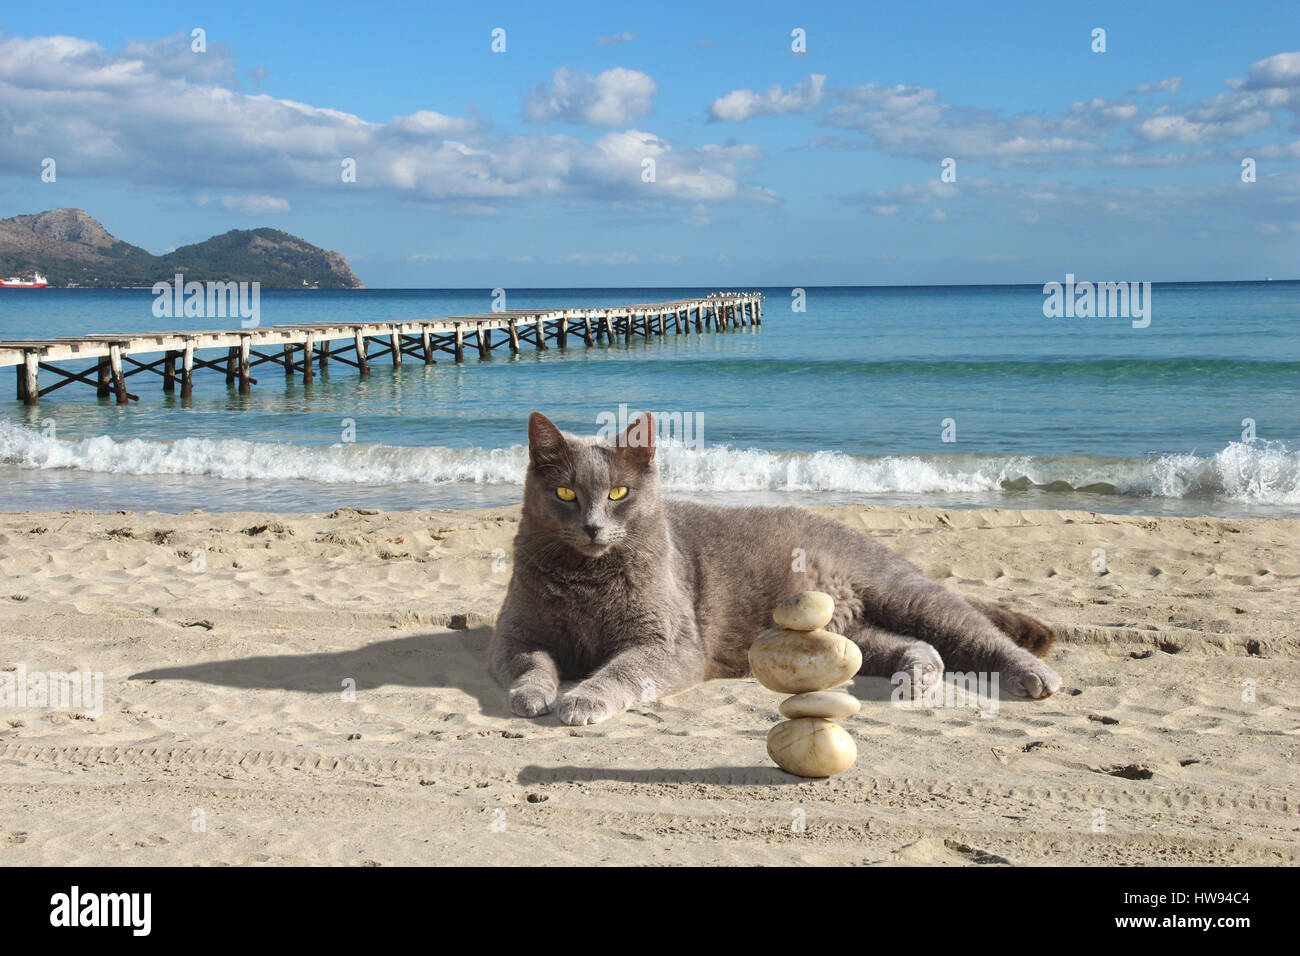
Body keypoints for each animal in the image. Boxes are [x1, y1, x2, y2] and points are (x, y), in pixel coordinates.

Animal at [491, 411, 1060, 723]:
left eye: (618, 494)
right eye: (565, 494)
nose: (591, 527)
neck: (588, 576)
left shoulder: (669, 643)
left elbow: (623, 668)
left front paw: (582, 699)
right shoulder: (517, 631)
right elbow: (529, 661)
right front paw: (533, 694)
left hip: (901, 589)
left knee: (974, 631)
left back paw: (1033, 675)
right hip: (844, 634)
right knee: (906, 643)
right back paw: (918, 675)